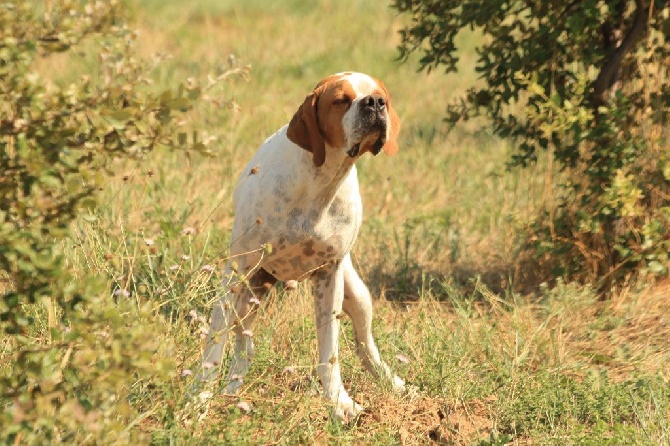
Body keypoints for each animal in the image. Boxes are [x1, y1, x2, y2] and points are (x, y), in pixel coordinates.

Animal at [200, 71, 406, 420]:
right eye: (341, 99)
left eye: (382, 97)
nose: (375, 103)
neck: (319, 182)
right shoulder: (237, 271)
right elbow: (215, 345)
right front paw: (198, 397)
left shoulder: (329, 276)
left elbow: (330, 353)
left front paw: (339, 402)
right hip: (247, 296)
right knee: (243, 345)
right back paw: (232, 388)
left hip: (358, 296)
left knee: (365, 345)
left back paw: (391, 381)